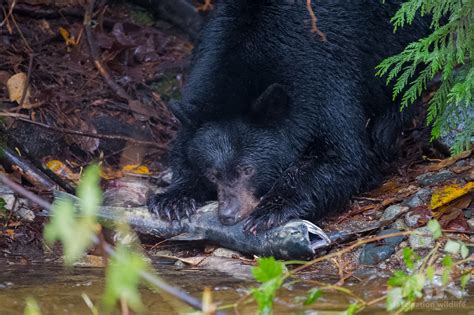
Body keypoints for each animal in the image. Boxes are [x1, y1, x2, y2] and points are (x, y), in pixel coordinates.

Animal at [148, 0, 430, 235]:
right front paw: (173, 198)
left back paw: (386, 128)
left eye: (248, 169)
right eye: (213, 174)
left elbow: (343, 157)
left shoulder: (323, 80)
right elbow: (183, 147)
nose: (228, 214)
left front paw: (271, 209)